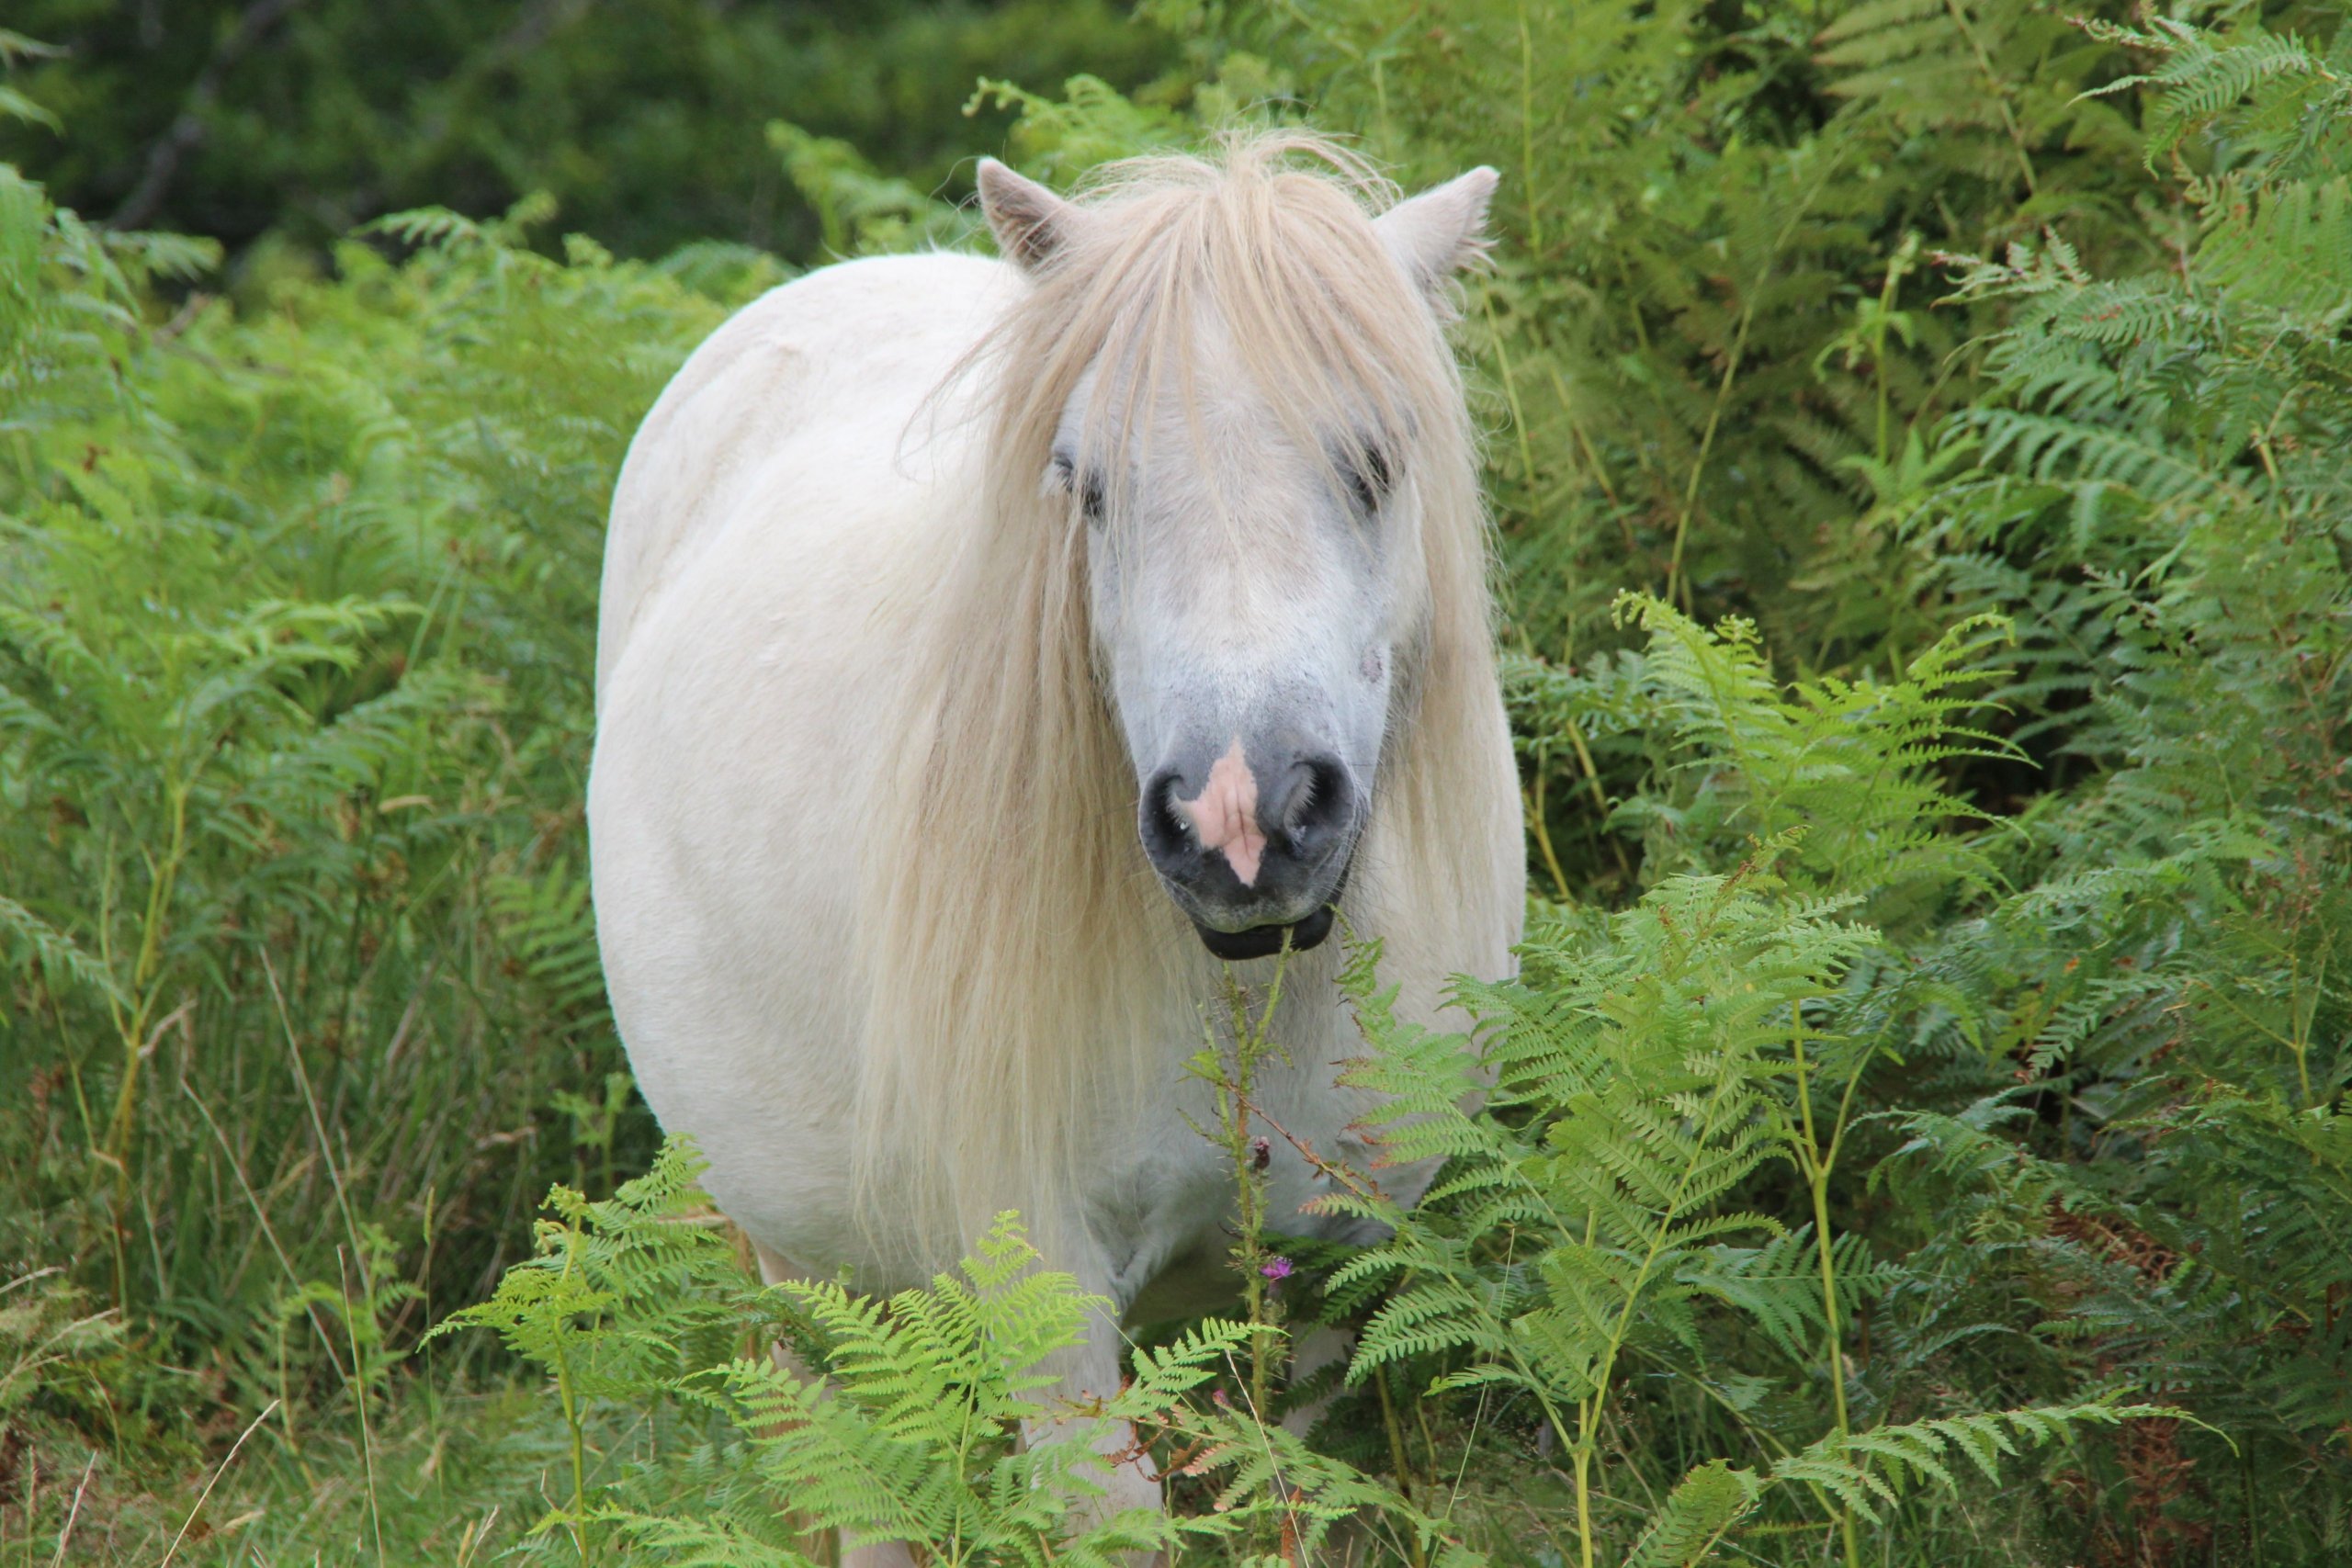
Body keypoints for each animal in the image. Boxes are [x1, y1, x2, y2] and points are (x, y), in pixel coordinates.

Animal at [588, 135, 1523, 1532]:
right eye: (1085, 485)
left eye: (1373, 462)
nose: (1240, 822)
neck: (1250, 995)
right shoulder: (1049, 1311)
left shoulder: (1329, 1299)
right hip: (801, 1275)